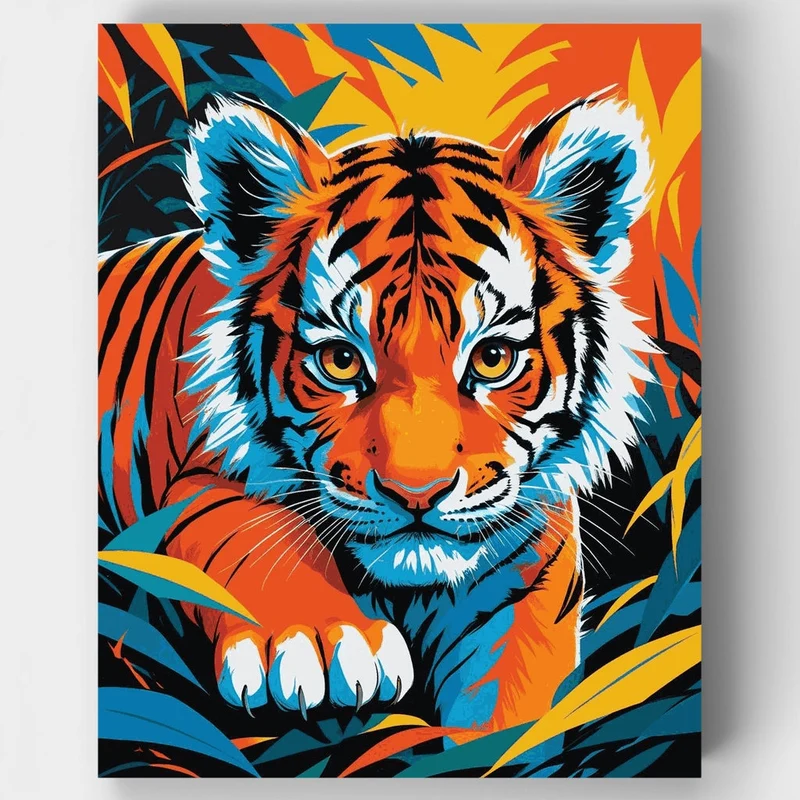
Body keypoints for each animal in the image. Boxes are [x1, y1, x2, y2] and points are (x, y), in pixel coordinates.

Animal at [98, 92, 652, 733]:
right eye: (341, 360)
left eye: (492, 358)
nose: (417, 493)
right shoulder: (199, 479)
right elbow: (248, 530)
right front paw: (319, 638)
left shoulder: (524, 589)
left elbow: (508, 728)